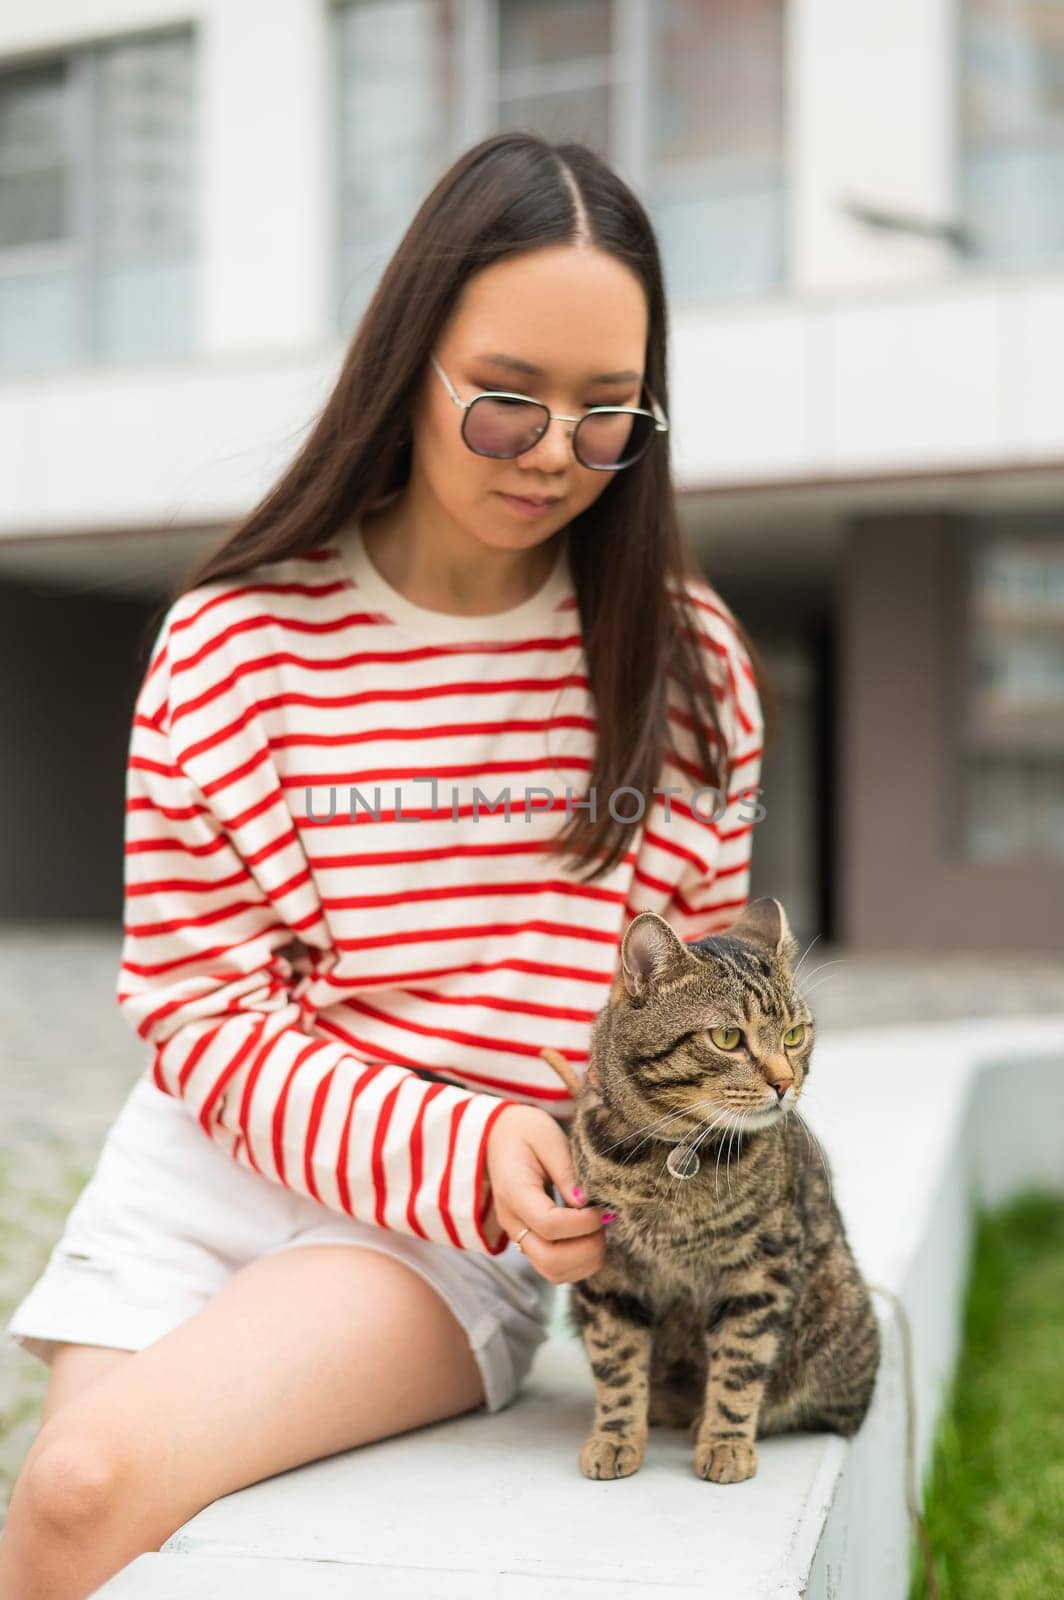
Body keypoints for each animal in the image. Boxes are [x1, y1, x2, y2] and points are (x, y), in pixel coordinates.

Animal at [540, 902, 876, 1484]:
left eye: (794, 1035)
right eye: (727, 1038)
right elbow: (616, 1364)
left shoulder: (760, 1268)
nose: (784, 1083)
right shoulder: (609, 1276)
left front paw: (725, 1442)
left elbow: (741, 1365)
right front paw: (616, 1435)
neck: (669, 1159)